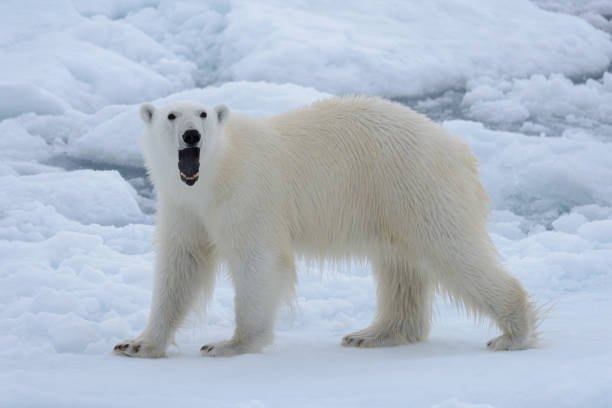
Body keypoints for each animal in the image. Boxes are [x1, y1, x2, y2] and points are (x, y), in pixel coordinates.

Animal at [112, 97, 536, 358]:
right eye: (171, 116)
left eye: (201, 114)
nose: (191, 136)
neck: (214, 174)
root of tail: (459, 148)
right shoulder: (183, 206)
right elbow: (181, 265)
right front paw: (137, 344)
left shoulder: (248, 193)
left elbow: (257, 260)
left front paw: (230, 344)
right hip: (394, 200)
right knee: (400, 267)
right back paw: (373, 333)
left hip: (416, 183)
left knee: (451, 249)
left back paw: (513, 333)